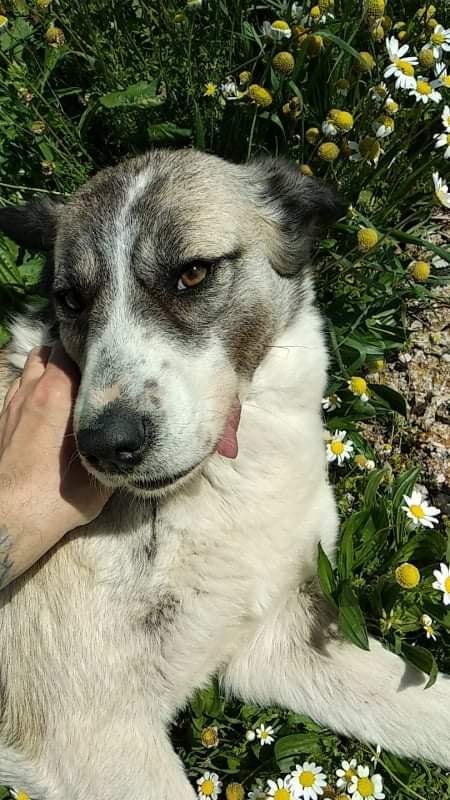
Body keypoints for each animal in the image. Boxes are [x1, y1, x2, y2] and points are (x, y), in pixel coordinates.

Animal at [0, 149, 448, 799]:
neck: (215, 488)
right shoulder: (87, 733)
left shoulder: (280, 638)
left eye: (192, 273)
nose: (106, 446)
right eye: (72, 300)